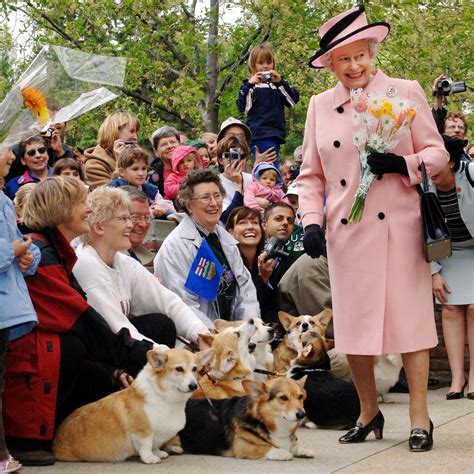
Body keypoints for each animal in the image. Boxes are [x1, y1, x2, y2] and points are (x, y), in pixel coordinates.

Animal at [52, 348, 213, 462]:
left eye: (194, 369)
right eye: (179, 369)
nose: (193, 386)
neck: (164, 397)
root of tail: (55, 441)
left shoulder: (159, 434)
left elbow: (155, 445)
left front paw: (158, 453)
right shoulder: (142, 432)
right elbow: (146, 446)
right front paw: (150, 458)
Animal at [178, 376, 314, 462]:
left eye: (300, 397)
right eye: (283, 398)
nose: (302, 414)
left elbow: (294, 446)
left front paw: (303, 450)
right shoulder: (241, 445)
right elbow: (264, 447)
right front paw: (282, 452)